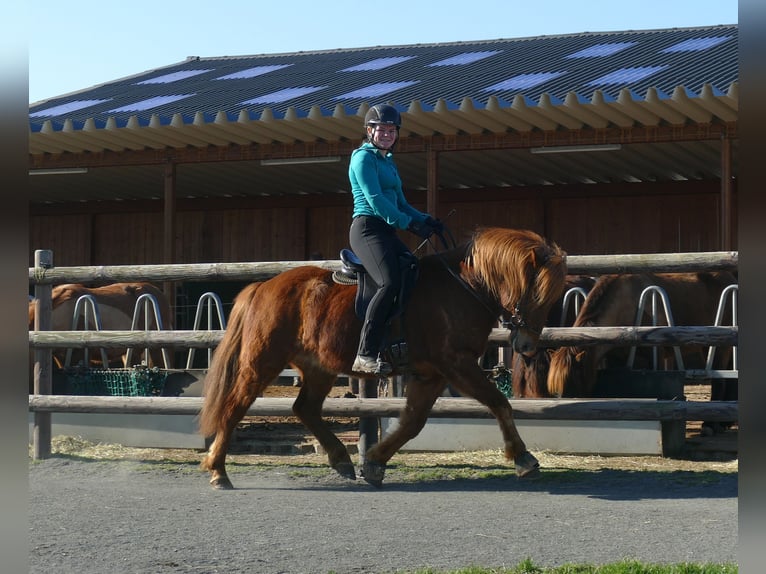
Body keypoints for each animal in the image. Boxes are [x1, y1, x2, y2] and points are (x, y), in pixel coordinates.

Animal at [199, 227, 567, 489]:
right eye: (535, 293)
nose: (526, 345)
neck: (464, 286)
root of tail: (263, 286)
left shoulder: (432, 374)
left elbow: (413, 422)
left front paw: (374, 463)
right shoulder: (457, 365)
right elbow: (499, 403)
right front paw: (523, 458)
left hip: (319, 368)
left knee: (305, 408)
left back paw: (341, 460)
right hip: (262, 362)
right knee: (234, 406)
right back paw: (218, 471)